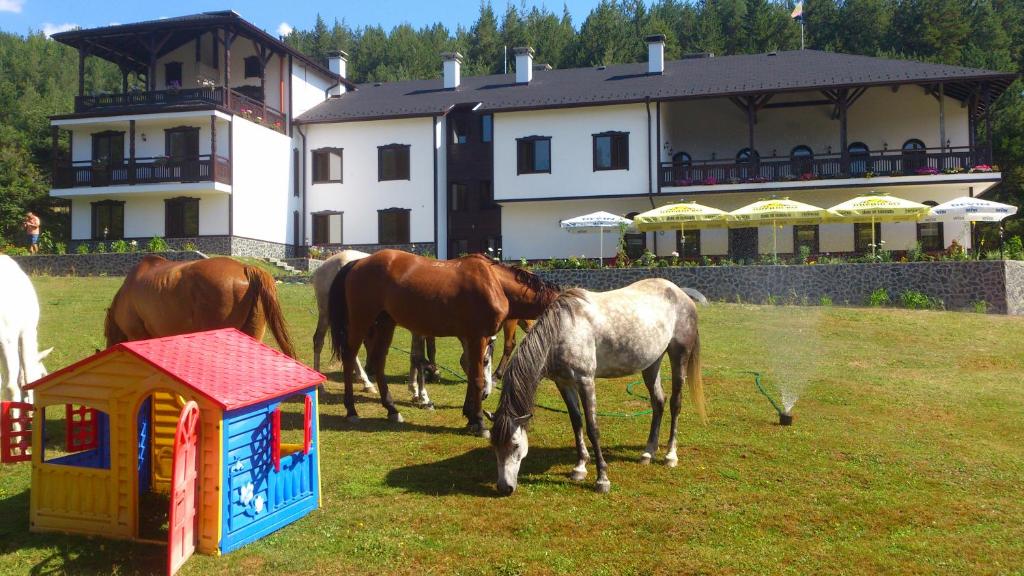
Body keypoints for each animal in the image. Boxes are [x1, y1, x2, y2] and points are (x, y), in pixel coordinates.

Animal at [329, 249, 561, 432]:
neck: (495, 282)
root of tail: (358, 263)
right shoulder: (478, 337)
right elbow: (477, 377)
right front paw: (479, 422)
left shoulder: (471, 338)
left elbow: (471, 372)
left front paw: (470, 415)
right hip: (361, 320)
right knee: (349, 356)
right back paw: (351, 410)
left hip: (386, 323)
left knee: (379, 360)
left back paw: (392, 409)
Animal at [487, 278, 704, 494]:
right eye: (494, 445)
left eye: (515, 445)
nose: (504, 487)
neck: (563, 330)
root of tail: (679, 292)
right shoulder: (563, 383)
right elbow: (576, 422)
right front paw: (580, 467)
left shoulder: (585, 381)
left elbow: (592, 428)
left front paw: (602, 479)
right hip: (652, 362)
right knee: (658, 402)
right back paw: (648, 453)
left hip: (679, 356)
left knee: (675, 403)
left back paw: (670, 455)